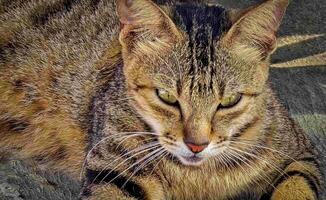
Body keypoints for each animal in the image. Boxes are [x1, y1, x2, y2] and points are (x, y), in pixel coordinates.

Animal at [0, 0, 322, 199]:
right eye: (166, 97)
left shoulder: (299, 153)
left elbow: (296, 186)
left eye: (230, 100)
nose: (196, 145)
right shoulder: (117, 167)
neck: (197, 176)